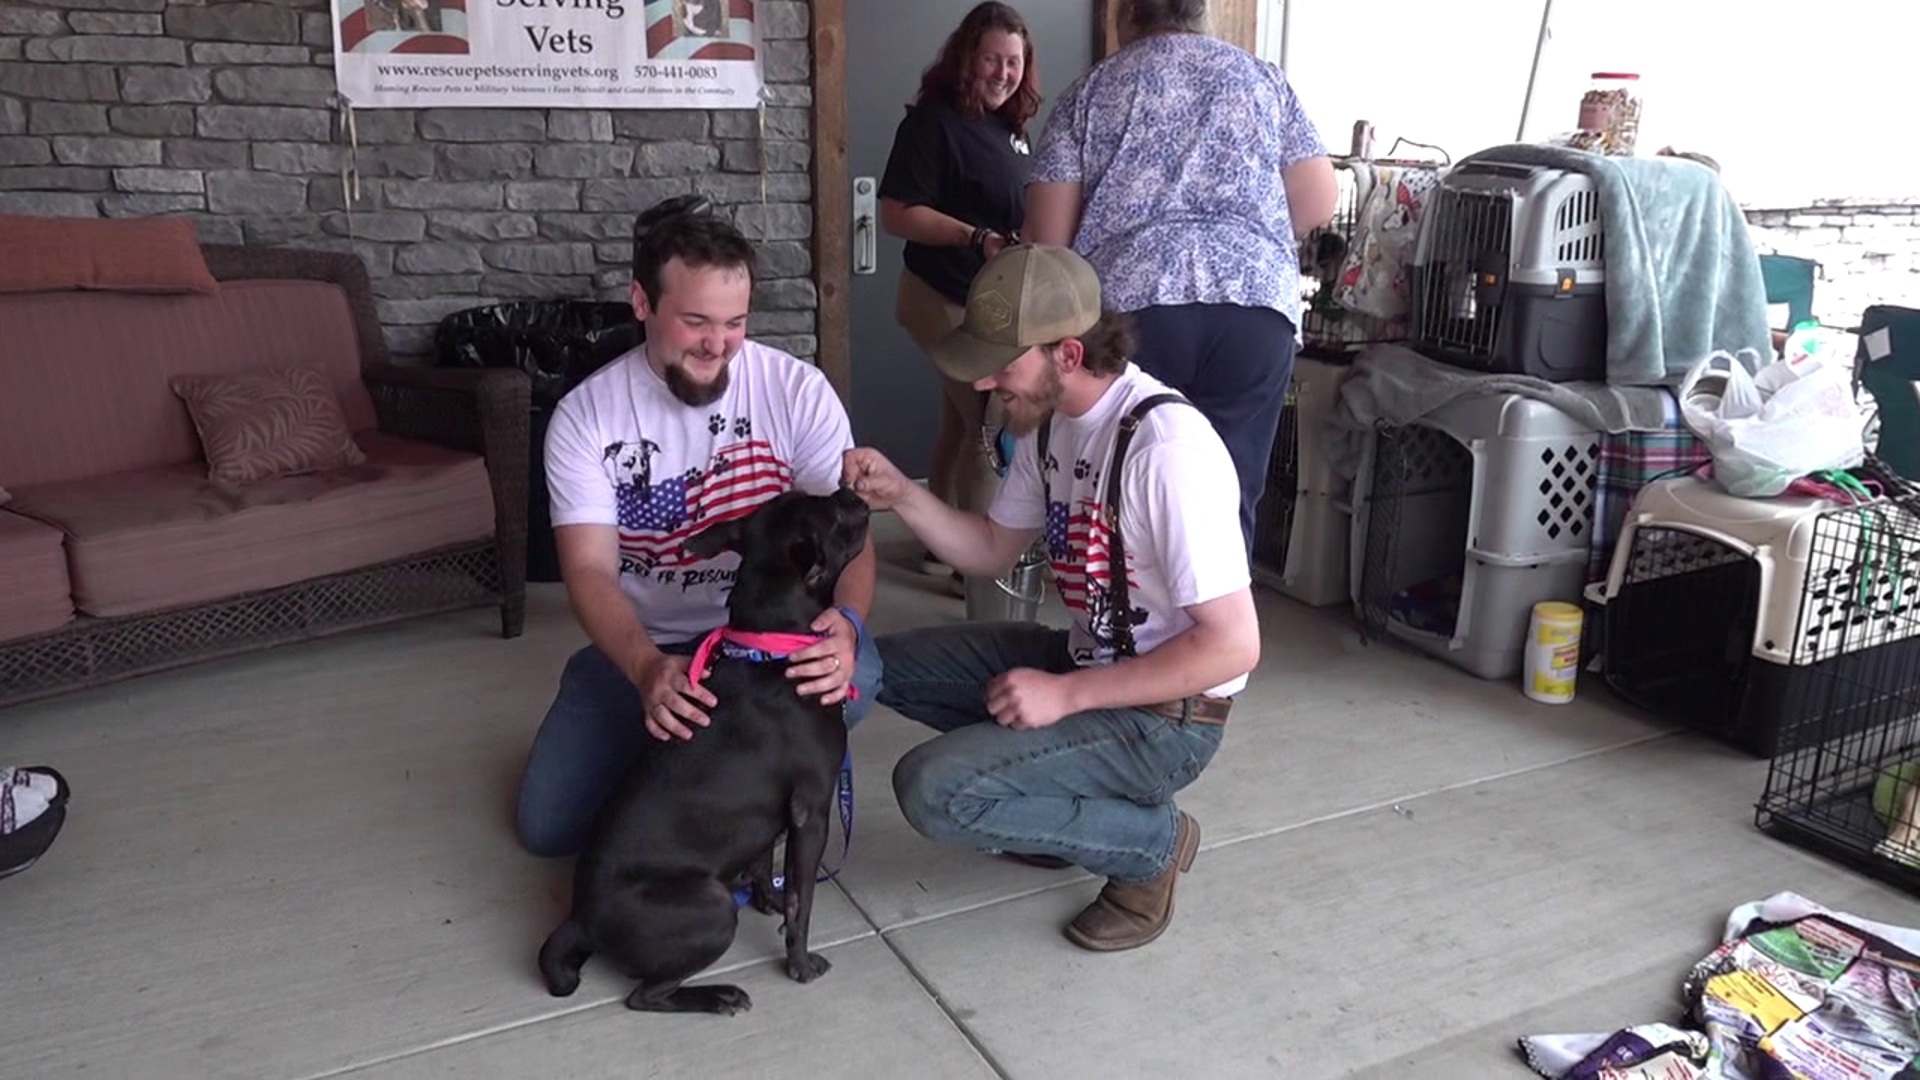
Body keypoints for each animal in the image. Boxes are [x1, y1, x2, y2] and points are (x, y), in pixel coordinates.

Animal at [541, 484, 871, 1014]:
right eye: (837, 515)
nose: (850, 488)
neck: (769, 648)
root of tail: (580, 921)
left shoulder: (771, 816)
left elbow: (763, 863)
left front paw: (766, 899)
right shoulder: (812, 812)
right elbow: (802, 902)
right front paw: (799, 963)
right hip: (712, 908)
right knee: (646, 996)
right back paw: (718, 995)